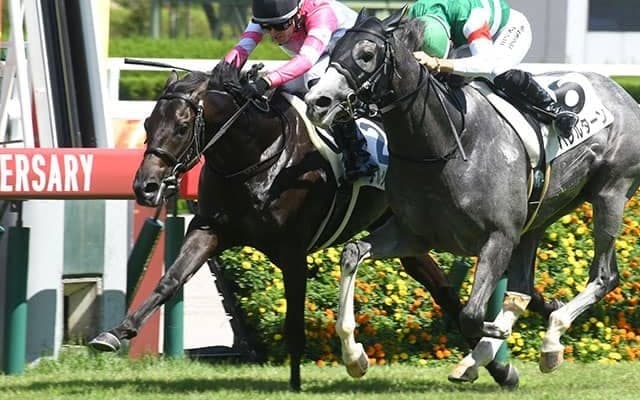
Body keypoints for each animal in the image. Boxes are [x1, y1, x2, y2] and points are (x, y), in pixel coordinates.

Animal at [87, 60, 530, 390]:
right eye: (147, 124)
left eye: (181, 126)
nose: (146, 187)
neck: (260, 157)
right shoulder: (210, 229)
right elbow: (169, 281)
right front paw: (116, 332)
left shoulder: (293, 251)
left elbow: (295, 322)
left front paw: (296, 384)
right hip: (410, 239)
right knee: (446, 293)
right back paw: (499, 368)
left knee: (451, 294)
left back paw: (494, 364)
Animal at [305, 7, 640, 380]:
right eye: (334, 51)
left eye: (366, 54)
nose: (317, 102)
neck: (443, 147)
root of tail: (622, 94)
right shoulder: (413, 234)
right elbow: (352, 253)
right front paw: (354, 356)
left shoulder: (499, 237)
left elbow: (471, 315)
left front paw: (499, 333)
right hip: (539, 217)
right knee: (522, 288)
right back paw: (485, 356)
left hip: (610, 192)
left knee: (604, 276)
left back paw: (551, 341)